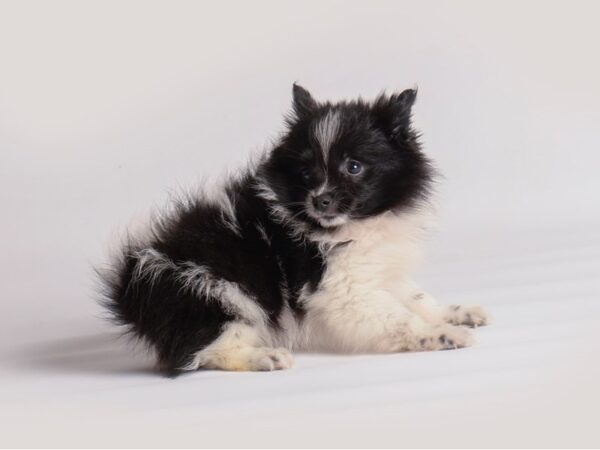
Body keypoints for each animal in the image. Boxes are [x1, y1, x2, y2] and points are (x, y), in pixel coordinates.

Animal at [98, 84, 488, 372]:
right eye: (306, 174)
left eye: (354, 167)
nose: (320, 201)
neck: (356, 224)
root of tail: (130, 291)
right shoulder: (342, 290)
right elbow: (399, 318)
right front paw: (442, 335)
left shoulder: (379, 270)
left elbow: (416, 297)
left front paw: (455, 314)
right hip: (219, 294)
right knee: (204, 350)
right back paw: (263, 357)